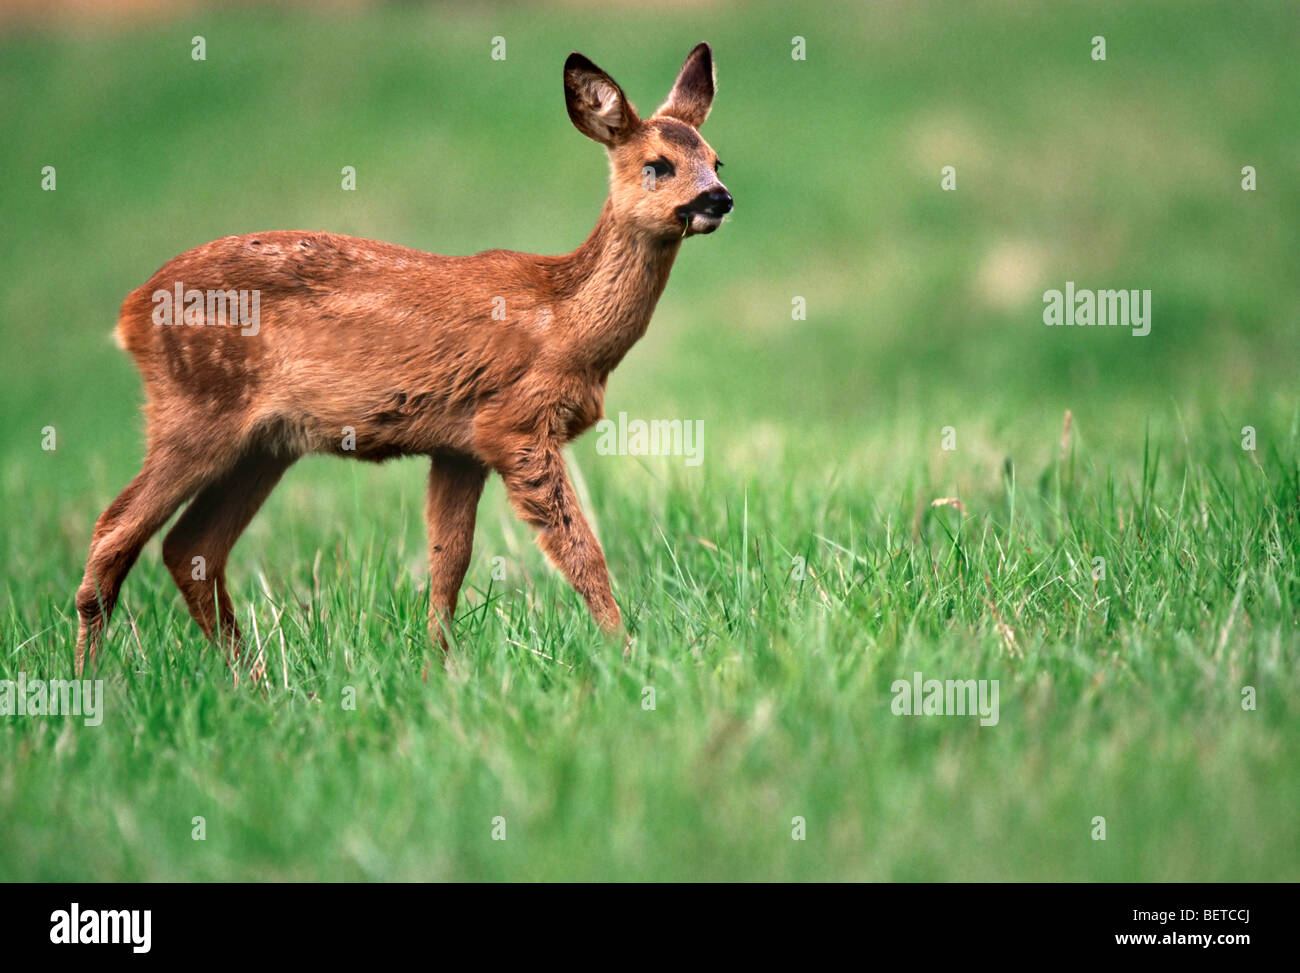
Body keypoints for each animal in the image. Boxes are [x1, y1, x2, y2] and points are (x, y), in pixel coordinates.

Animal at [74, 43, 732, 675]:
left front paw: (438, 669)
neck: (565, 323)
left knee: (191, 546)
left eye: (716, 159)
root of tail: (130, 313)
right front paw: (627, 653)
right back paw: (92, 683)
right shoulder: (515, 424)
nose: (719, 198)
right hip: (196, 409)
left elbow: (448, 565)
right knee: (114, 532)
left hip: (264, 444)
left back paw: (250, 677)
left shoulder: (460, 447)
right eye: (657, 165)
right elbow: (580, 552)